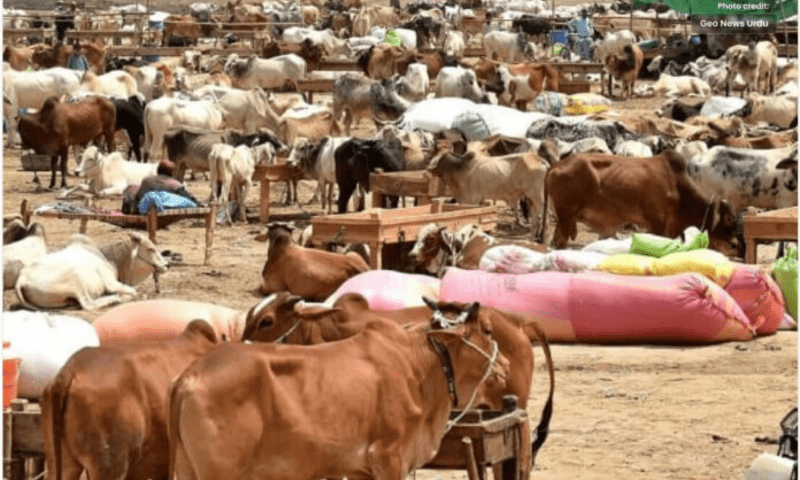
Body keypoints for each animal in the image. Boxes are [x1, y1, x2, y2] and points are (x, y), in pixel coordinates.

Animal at [15, 232, 169, 310]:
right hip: (75, 277)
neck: (109, 257)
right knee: (88, 304)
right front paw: (123, 296)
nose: (167, 265)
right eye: (150, 249)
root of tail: (21, 279)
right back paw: (113, 299)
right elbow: (134, 292)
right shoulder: (111, 283)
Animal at [167, 299, 510, 480]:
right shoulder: (388, 456)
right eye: (488, 331)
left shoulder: (357, 468)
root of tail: (188, 376)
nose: (505, 366)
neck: (419, 365)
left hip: (186, 469)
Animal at [543, 150, 740, 253]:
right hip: (566, 219)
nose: (736, 246)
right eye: (729, 219)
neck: (678, 187)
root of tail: (556, 165)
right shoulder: (657, 223)